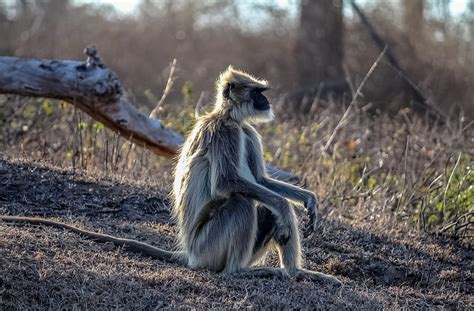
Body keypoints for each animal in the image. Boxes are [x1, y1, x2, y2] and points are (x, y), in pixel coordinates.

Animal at [0, 67, 340, 288]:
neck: (228, 117)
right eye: (258, 93)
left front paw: (308, 200)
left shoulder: (247, 131)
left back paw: (296, 272)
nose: (266, 103)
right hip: (208, 247)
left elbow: (262, 181)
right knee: (244, 202)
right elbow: (231, 185)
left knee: (262, 205)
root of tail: (190, 255)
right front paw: (287, 206)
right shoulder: (227, 132)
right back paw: (238, 272)